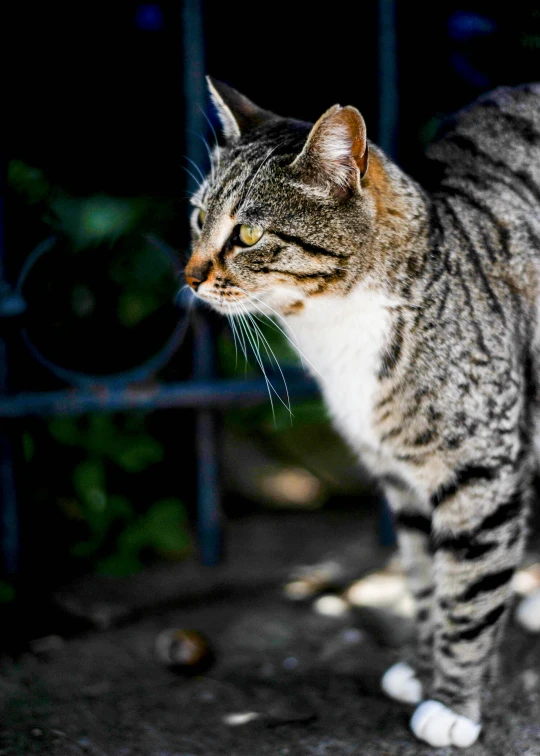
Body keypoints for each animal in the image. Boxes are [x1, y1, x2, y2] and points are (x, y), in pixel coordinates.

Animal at [184, 78, 540, 752]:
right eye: (197, 218)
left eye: (248, 236)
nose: (189, 276)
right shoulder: (400, 477)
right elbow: (425, 580)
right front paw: (424, 668)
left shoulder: (481, 471)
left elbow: (469, 593)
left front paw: (453, 702)